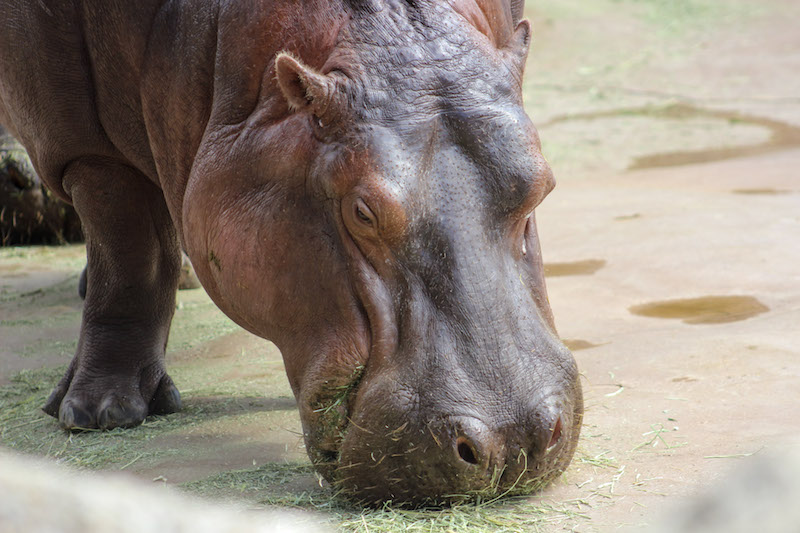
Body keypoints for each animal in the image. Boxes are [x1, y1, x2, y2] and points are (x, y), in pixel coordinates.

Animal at [3, 0, 584, 500]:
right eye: (362, 212)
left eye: (541, 184)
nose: (514, 440)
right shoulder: (83, 145)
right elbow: (128, 259)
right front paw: (97, 414)